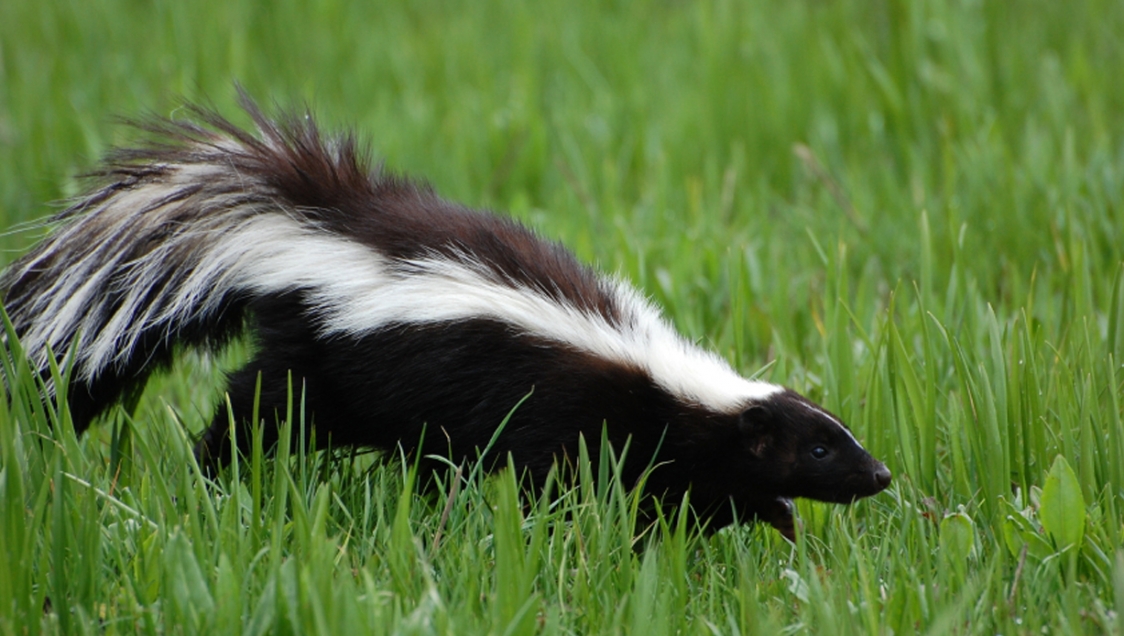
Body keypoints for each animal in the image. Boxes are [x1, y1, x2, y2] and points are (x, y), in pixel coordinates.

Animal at [2, 97, 894, 541]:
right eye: (822, 448)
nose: (882, 475)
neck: (671, 382)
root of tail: (313, 226)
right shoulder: (575, 417)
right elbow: (576, 485)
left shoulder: (676, 447)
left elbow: (695, 492)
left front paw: (775, 523)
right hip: (330, 361)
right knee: (260, 407)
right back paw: (215, 472)